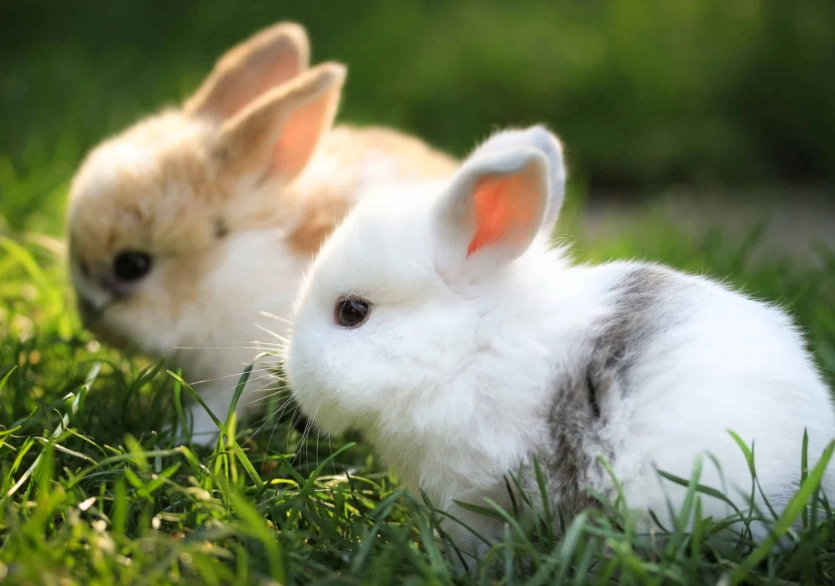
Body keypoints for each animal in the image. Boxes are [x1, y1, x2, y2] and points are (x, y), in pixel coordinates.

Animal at [66, 22, 456, 443]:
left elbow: (219, 404)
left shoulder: (241, 365)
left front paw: (181, 435)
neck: (221, 270)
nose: (91, 321)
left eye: (132, 264)